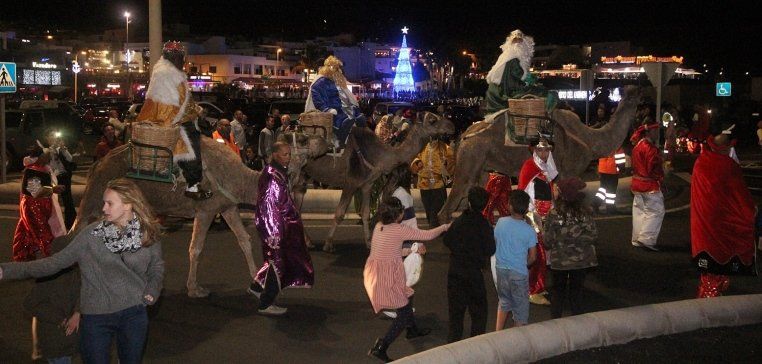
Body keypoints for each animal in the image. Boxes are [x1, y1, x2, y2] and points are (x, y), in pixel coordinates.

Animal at [67, 135, 324, 298]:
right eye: (302, 139)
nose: (323, 142)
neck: (239, 180)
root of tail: (97, 164)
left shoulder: (228, 207)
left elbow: (244, 240)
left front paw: (255, 278)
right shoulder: (206, 209)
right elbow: (196, 248)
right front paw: (194, 289)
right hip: (95, 199)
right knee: (75, 230)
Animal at [290, 112, 452, 252]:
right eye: (432, 119)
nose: (452, 125)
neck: (379, 155)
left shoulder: (367, 184)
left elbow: (365, 212)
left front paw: (368, 243)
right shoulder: (350, 183)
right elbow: (340, 213)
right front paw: (328, 244)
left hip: (303, 174)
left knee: (298, 203)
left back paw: (308, 242)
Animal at [436, 86, 640, 223]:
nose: (640, 90)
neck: (589, 138)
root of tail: (464, 136)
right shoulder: (569, 171)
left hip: (481, 162)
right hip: (471, 155)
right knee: (457, 192)